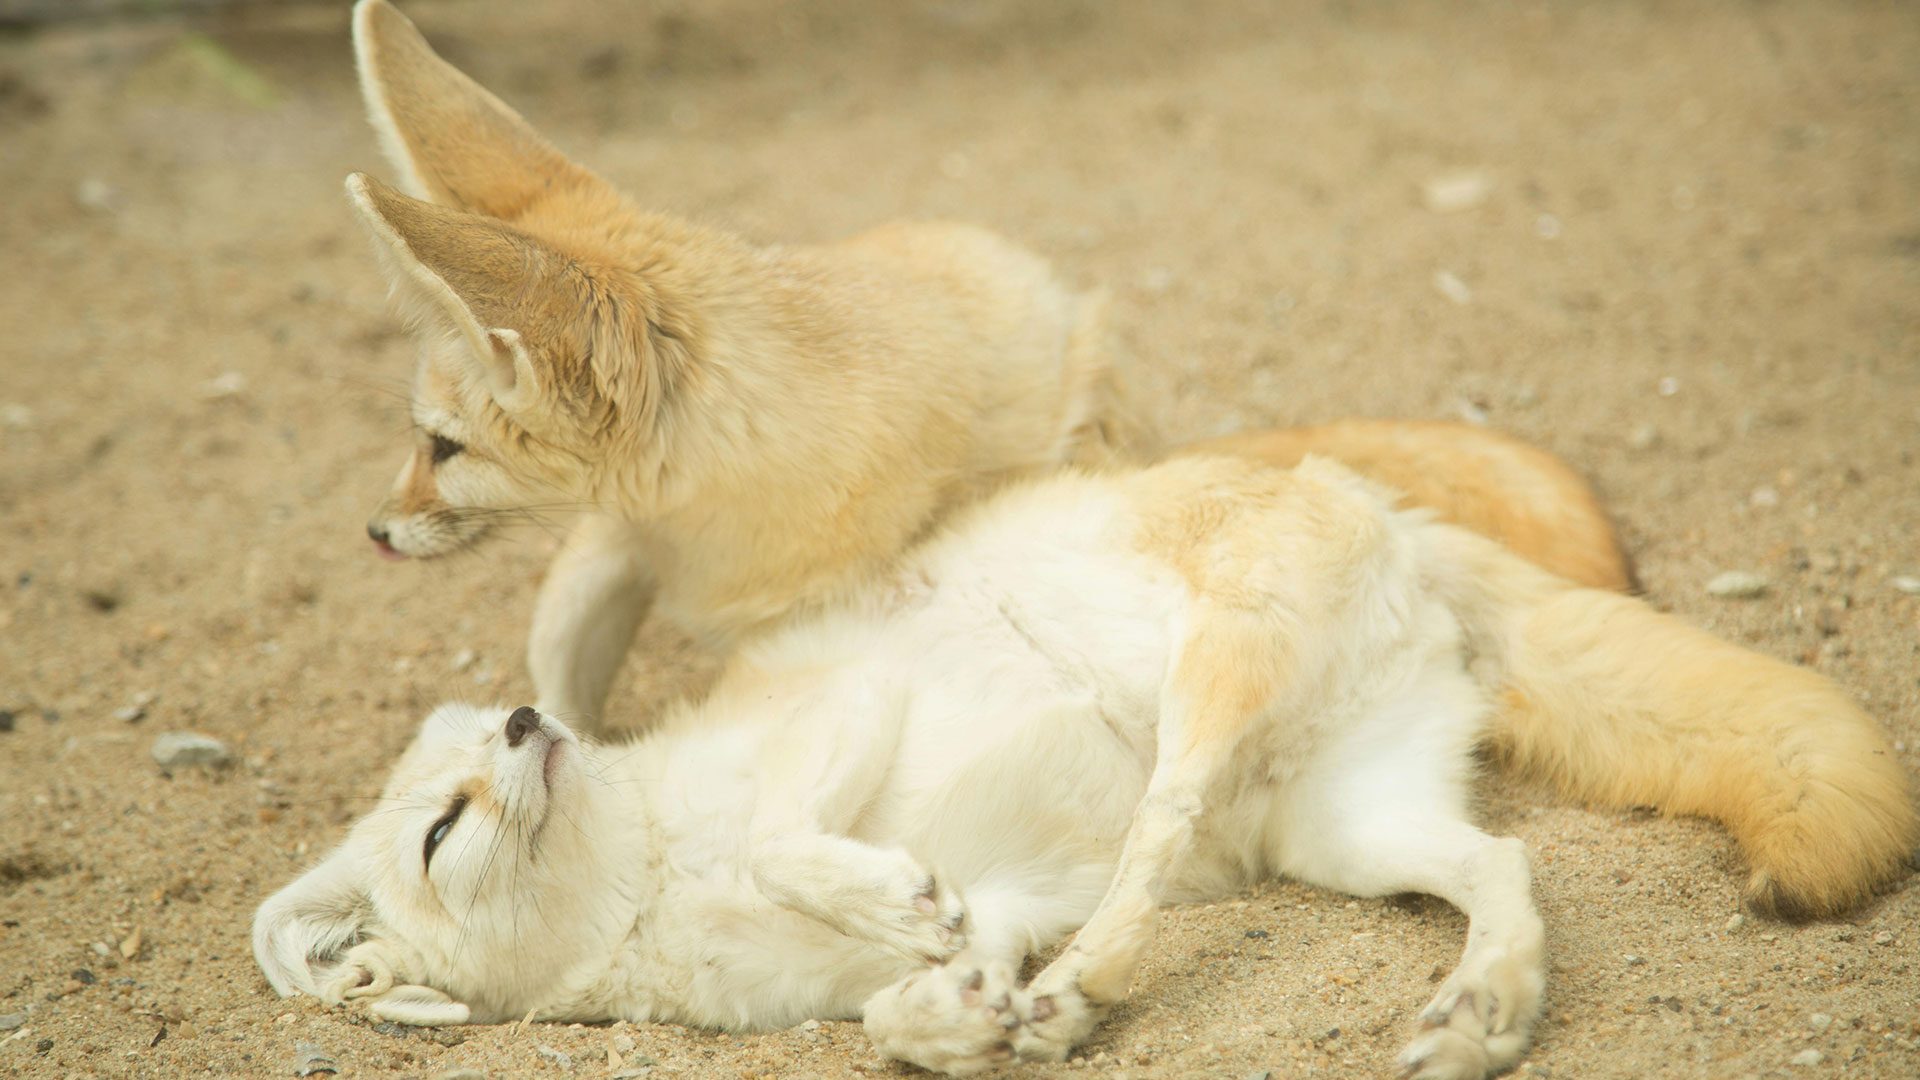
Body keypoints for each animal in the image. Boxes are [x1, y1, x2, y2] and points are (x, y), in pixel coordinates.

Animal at [254, 451, 1914, 1079]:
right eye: (443, 822)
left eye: (474, 751)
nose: (529, 728)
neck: (652, 882)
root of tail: (1378, 497)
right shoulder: (997, 898)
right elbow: (900, 1012)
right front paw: (960, 1015)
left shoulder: (848, 712)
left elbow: (814, 845)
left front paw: (919, 934)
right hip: (1347, 830)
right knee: (1504, 865)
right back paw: (1483, 1008)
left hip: (1198, 712)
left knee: (1151, 856)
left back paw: (1089, 989)